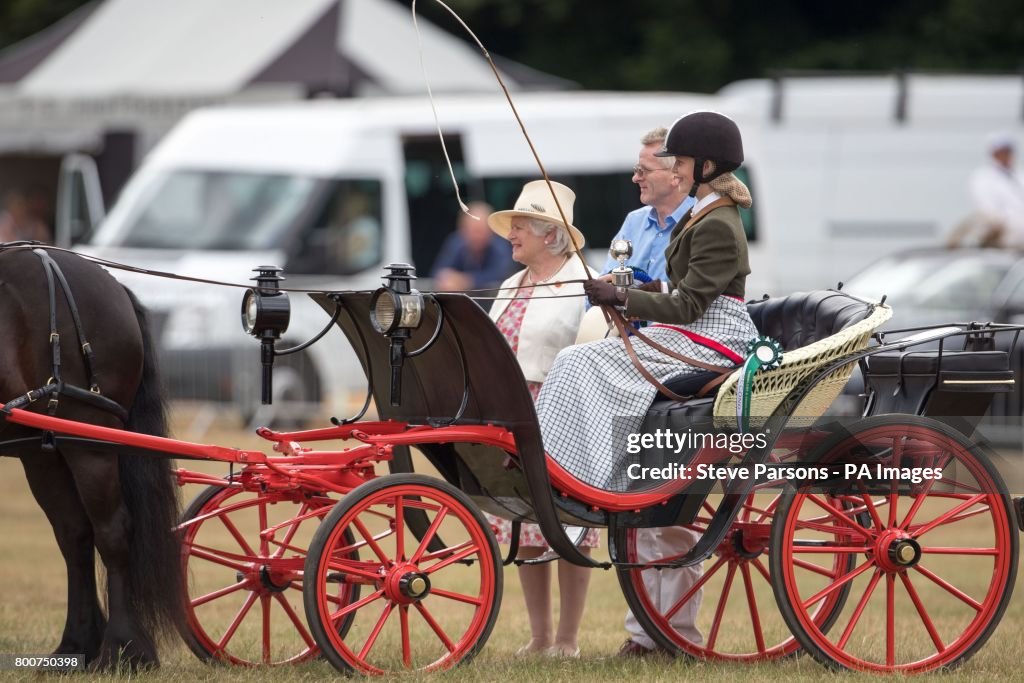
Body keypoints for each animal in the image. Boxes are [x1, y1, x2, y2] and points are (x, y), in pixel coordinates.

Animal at [0, 246, 182, 667]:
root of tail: (111, 283)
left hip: (90, 442)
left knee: (112, 531)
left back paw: (122, 648)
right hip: (45, 451)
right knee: (75, 535)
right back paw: (76, 644)